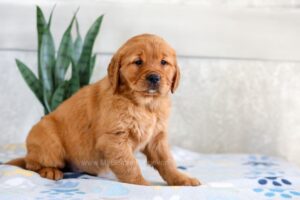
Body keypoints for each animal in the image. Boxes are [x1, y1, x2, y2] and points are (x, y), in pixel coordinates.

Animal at [6, 34, 199, 186]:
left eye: (164, 62)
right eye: (138, 62)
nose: (154, 77)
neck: (144, 104)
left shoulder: (157, 138)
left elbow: (167, 162)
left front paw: (182, 179)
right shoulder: (114, 138)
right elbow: (130, 165)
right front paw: (143, 184)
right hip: (48, 140)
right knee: (33, 164)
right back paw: (50, 171)